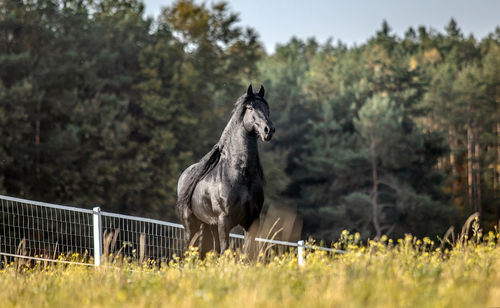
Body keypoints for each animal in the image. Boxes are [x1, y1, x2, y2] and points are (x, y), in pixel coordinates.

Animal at [176, 84, 276, 258]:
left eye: (266, 107)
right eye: (250, 107)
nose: (268, 130)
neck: (241, 175)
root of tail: (184, 175)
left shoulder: (252, 221)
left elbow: (246, 254)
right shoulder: (225, 221)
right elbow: (226, 252)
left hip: (209, 225)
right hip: (191, 226)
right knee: (189, 251)